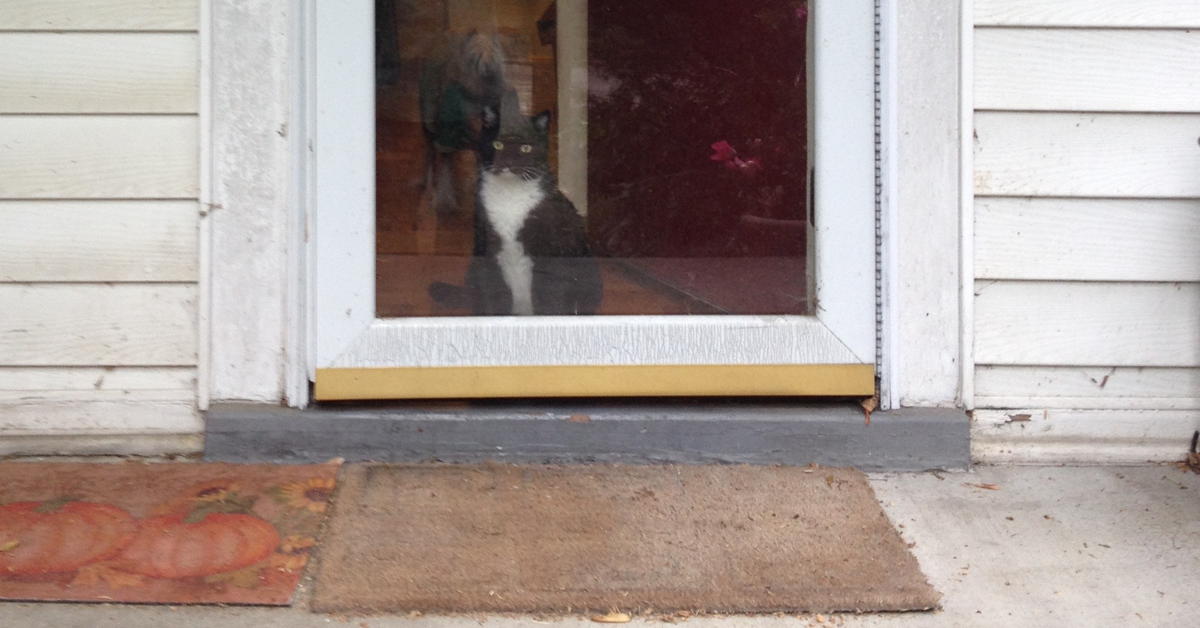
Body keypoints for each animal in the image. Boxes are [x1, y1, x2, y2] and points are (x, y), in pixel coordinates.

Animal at [429, 100, 600, 317]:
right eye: (498, 144)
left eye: (526, 148)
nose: (508, 163)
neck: (510, 197)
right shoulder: (487, 246)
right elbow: (491, 296)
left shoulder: (549, 253)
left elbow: (550, 299)